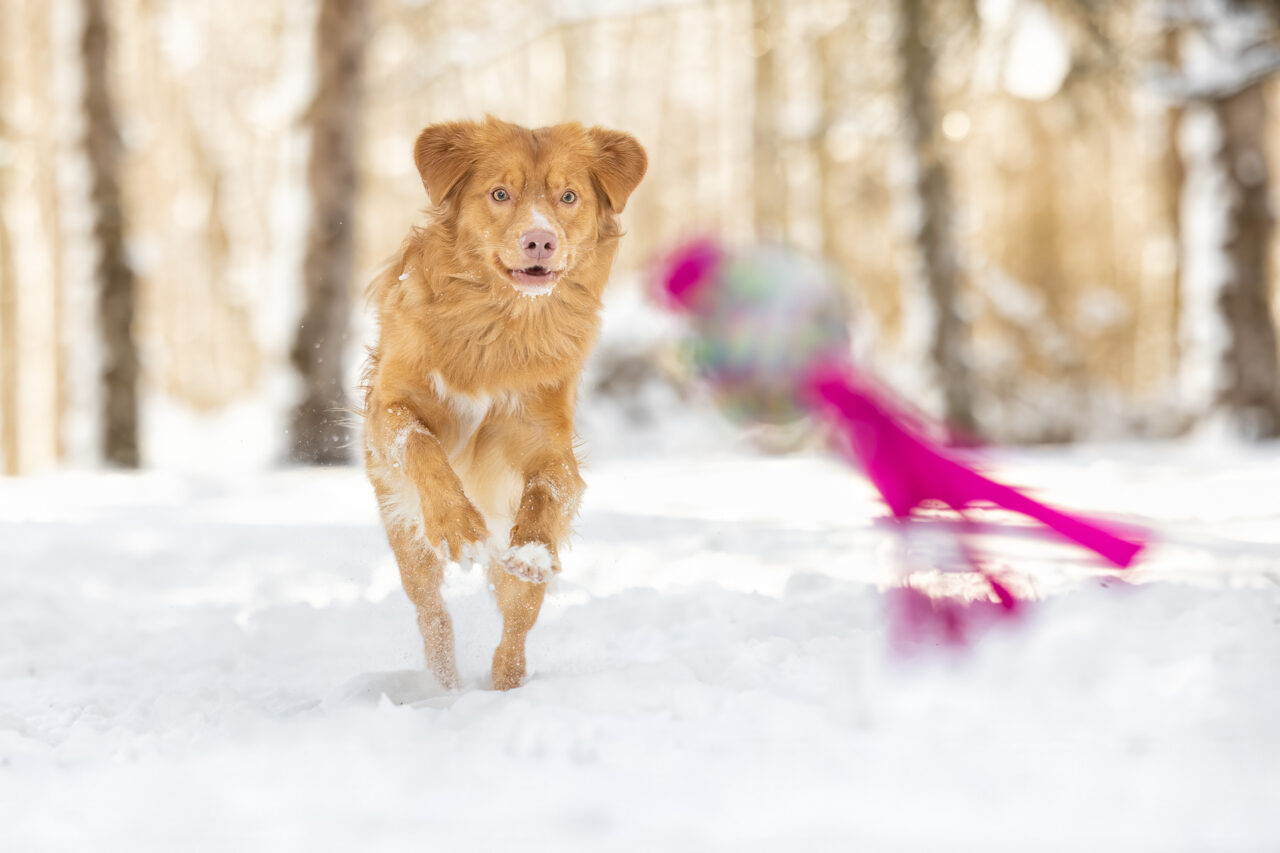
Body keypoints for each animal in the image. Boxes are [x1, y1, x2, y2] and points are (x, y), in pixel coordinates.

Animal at [363, 116, 650, 686]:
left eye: (568, 196)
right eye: (500, 193)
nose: (539, 239)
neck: (498, 325)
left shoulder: (548, 443)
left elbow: (548, 488)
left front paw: (534, 551)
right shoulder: (389, 407)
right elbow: (419, 442)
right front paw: (459, 525)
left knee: (516, 627)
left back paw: (505, 684)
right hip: (406, 537)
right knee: (432, 614)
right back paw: (445, 683)